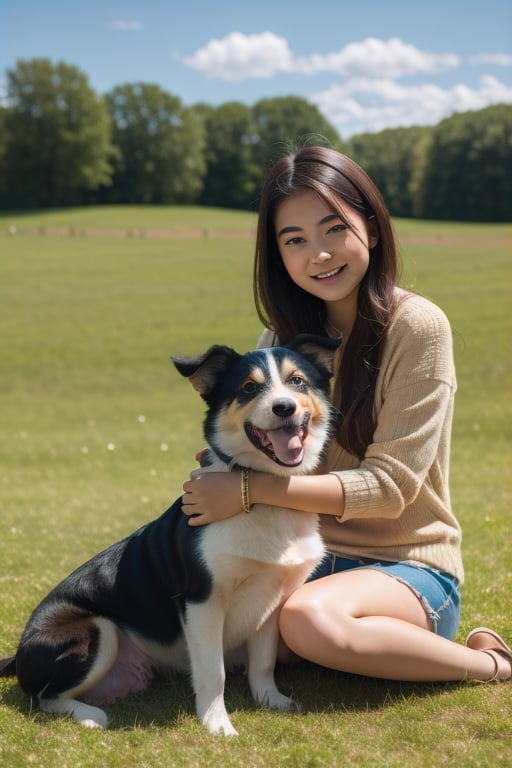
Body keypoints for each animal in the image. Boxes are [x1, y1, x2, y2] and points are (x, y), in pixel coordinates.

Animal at [1, 332, 340, 736]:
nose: (284, 407)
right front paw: (217, 725)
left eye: (297, 381)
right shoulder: (202, 600)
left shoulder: (272, 599)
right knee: (43, 697)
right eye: (249, 387)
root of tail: (18, 654)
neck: (264, 499)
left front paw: (270, 701)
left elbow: (263, 662)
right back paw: (89, 715)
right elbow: (213, 672)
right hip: (95, 628)